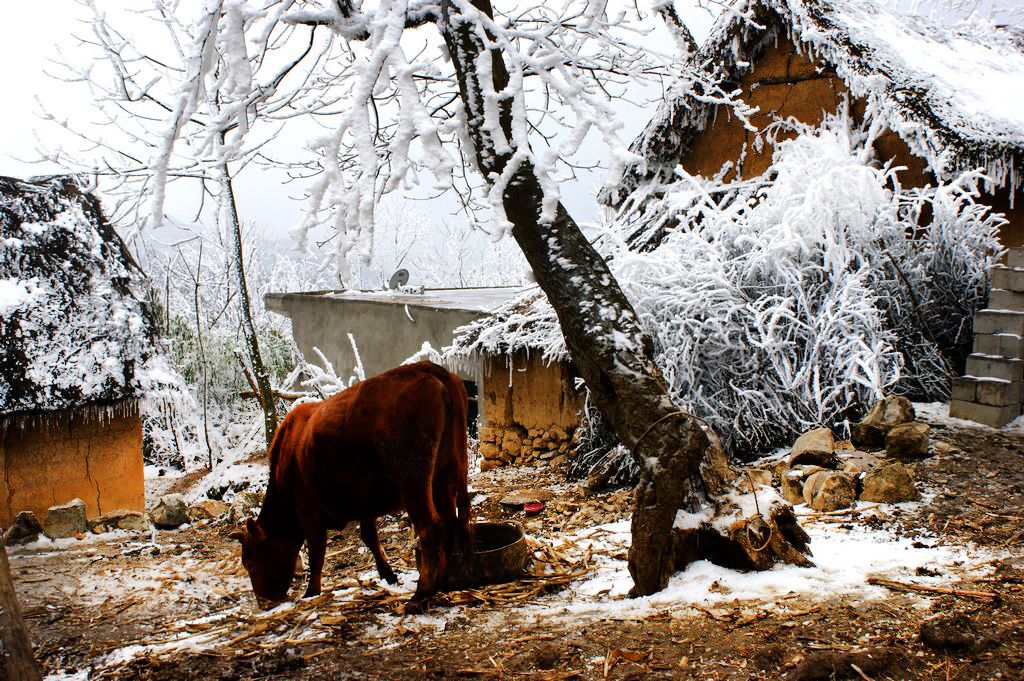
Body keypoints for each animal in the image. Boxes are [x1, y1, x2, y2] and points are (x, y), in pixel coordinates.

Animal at [230, 360, 468, 610]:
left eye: (251, 563)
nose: (263, 601)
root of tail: (427, 368)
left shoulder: (309, 514)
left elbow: (317, 552)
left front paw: (311, 592)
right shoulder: (365, 503)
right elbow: (369, 537)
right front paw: (388, 575)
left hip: (413, 482)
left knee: (431, 527)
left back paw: (420, 595)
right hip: (446, 475)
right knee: (450, 523)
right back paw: (441, 583)